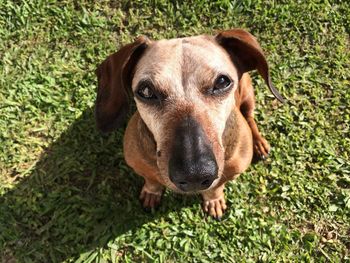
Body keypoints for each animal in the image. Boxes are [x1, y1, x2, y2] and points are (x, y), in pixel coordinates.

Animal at [94, 28, 284, 220]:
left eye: (222, 82)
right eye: (146, 91)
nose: (194, 175)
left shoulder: (230, 172)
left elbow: (216, 187)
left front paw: (214, 200)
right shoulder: (139, 165)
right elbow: (152, 180)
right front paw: (151, 193)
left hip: (247, 93)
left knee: (249, 116)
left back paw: (259, 143)